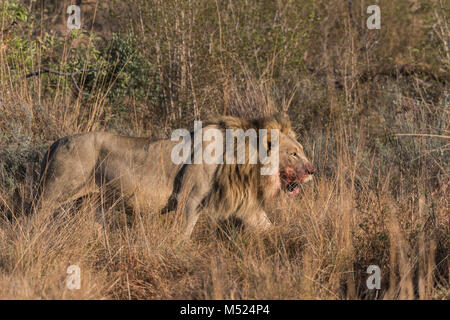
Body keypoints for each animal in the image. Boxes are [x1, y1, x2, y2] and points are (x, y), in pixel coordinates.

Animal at [39, 112, 316, 238]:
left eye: (301, 151)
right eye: (294, 154)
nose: (313, 170)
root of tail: (55, 142)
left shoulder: (248, 206)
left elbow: (267, 226)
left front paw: (289, 239)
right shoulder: (188, 199)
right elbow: (183, 233)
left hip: (93, 201)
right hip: (54, 192)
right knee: (35, 216)